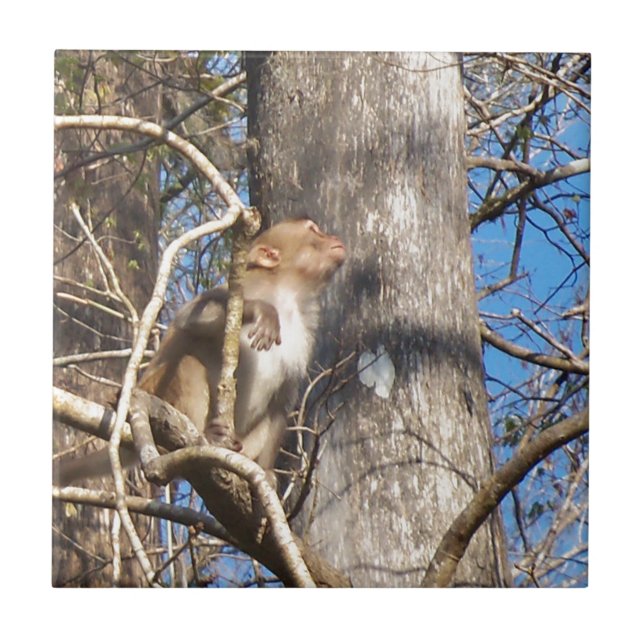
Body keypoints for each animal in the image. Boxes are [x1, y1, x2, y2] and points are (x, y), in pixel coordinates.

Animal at [55, 218, 346, 486]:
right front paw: (260, 311)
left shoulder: (307, 331)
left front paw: (267, 471)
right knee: (187, 364)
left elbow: (282, 400)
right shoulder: (248, 287)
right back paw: (206, 438)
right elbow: (190, 316)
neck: (288, 295)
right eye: (313, 230)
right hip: (157, 392)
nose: (333, 237)